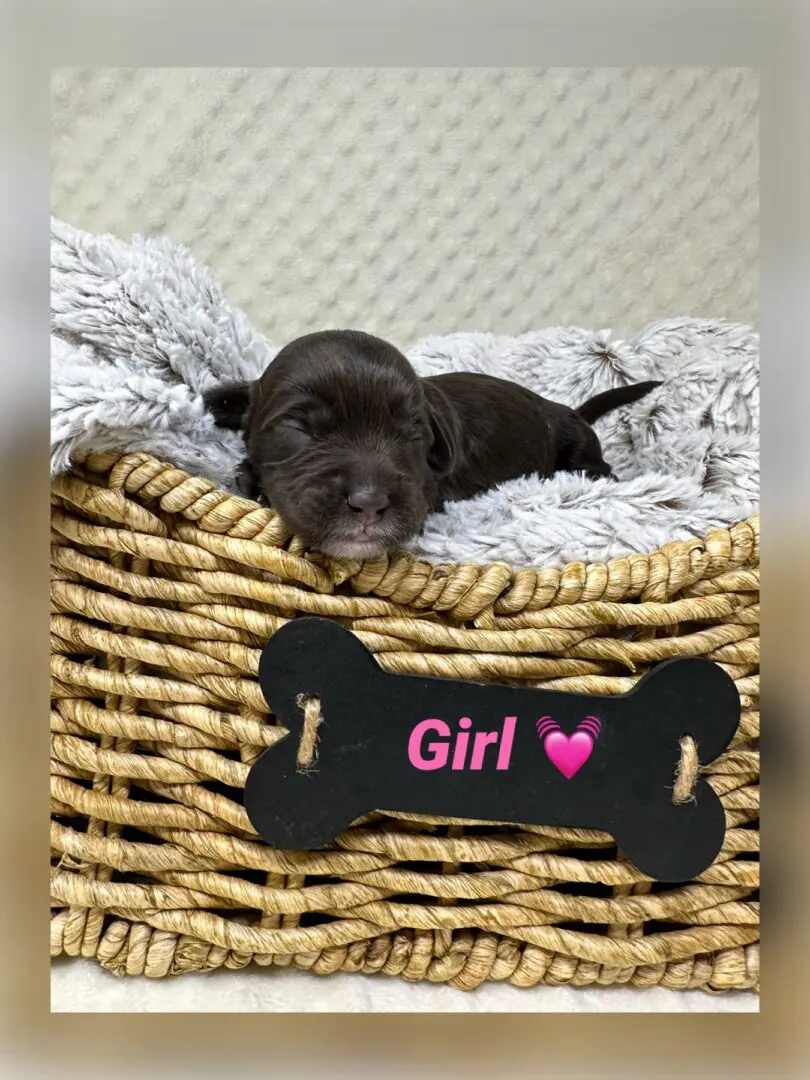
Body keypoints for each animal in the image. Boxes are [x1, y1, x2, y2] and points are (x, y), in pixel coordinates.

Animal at [206, 330, 660, 561]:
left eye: (412, 433)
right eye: (299, 427)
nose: (369, 503)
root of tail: (570, 411)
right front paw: (249, 476)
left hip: (579, 448)